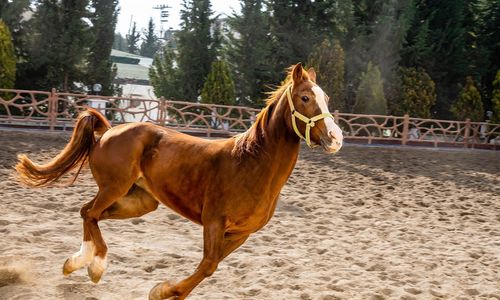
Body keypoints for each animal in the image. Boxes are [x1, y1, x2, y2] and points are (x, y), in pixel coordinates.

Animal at [15, 63, 344, 298]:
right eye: (305, 97)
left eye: (326, 98)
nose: (335, 138)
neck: (250, 164)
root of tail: (107, 131)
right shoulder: (214, 221)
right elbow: (208, 265)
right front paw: (161, 291)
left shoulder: (241, 233)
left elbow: (211, 266)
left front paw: (167, 290)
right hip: (114, 187)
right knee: (90, 213)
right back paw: (94, 266)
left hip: (140, 201)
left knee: (90, 213)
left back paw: (79, 264)